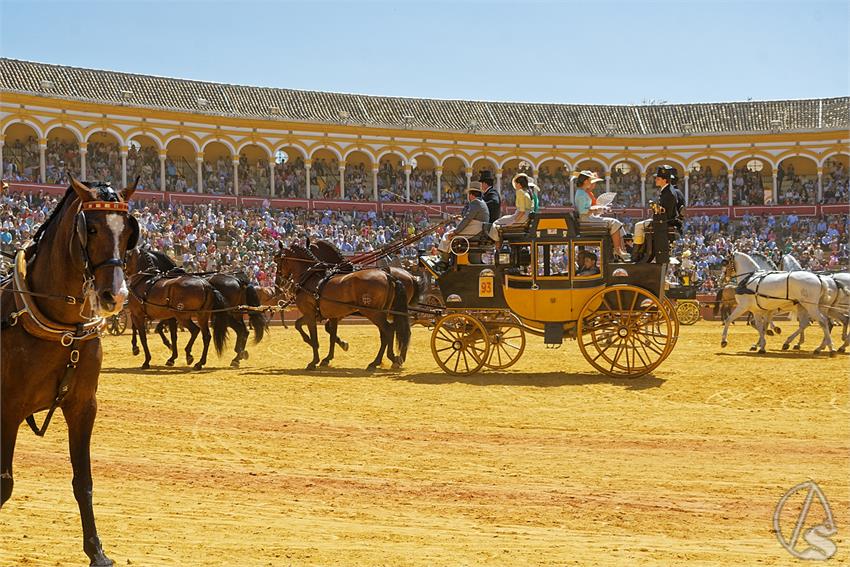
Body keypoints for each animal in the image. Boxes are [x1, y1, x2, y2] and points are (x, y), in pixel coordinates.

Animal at [1, 175, 139, 564]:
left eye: (128, 231)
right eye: (89, 228)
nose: (115, 296)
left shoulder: (82, 406)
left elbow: (83, 481)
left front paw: (97, 550)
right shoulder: (9, 408)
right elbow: (4, 483)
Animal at [274, 245, 410, 372]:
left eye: (277, 260)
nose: (278, 283)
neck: (311, 279)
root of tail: (387, 275)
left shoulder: (310, 314)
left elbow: (314, 336)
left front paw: (313, 361)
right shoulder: (326, 315)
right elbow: (320, 332)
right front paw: (326, 356)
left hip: (374, 313)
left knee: (389, 331)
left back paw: (384, 360)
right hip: (380, 313)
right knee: (386, 334)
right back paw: (383, 361)